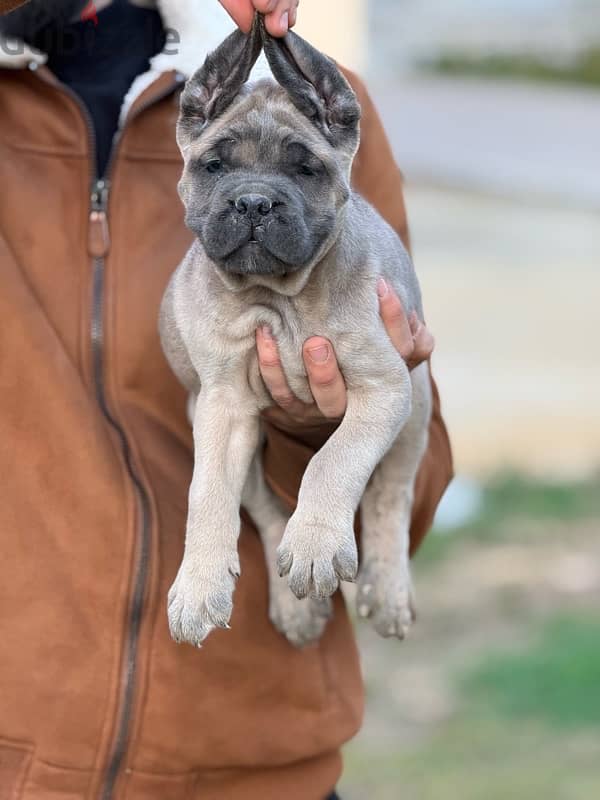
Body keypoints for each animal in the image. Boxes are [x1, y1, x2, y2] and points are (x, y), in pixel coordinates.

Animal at [159, 17, 432, 648]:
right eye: (215, 166)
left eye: (304, 169)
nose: (254, 201)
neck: (278, 300)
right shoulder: (222, 406)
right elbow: (206, 493)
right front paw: (197, 588)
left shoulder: (386, 387)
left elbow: (333, 459)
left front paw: (314, 546)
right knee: (262, 508)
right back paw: (290, 605)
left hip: (418, 398)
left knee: (390, 493)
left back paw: (388, 590)